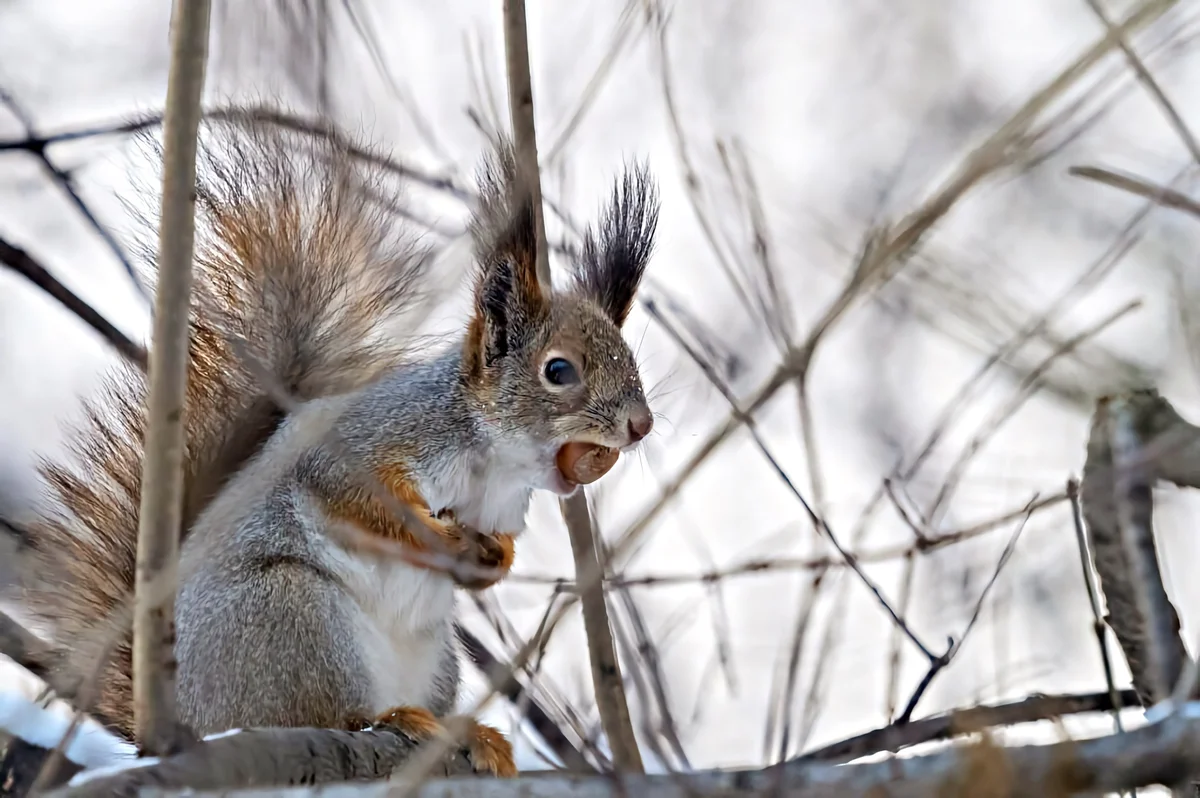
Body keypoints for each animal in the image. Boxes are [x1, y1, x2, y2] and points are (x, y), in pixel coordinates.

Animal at [4, 113, 657, 777]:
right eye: (558, 371)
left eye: (630, 360)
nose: (641, 425)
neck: (495, 461)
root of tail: (188, 723)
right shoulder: (368, 438)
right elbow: (351, 495)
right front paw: (436, 537)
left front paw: (492, 559)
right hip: (296, 618)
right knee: (327, 711)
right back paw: (391, 719)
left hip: (434, 658)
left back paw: (468, 733)